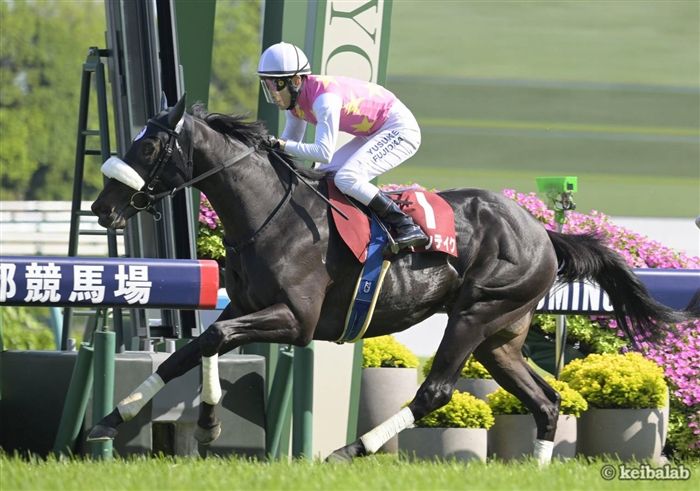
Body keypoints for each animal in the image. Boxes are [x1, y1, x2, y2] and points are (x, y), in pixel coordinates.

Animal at [88, 95, 692, 463]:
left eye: (148, 145)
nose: (101, 207)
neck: (269, 215)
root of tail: (542, 232)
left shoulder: (297, 320)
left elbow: (211, 338)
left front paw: (203, 423)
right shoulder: (243, 305)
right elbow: (193, 349)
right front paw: (116, 418)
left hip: (475, 315)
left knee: (436, 391)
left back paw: (348, 450)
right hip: (501, 338)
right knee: (546, 402)